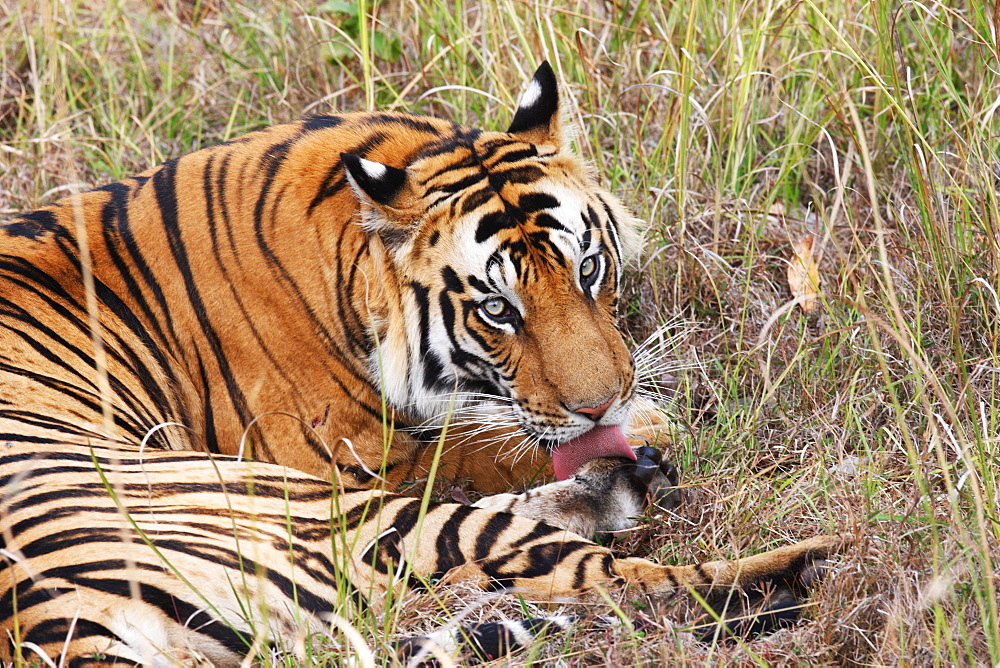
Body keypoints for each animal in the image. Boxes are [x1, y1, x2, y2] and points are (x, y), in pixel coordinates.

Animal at [0, 61, 852, 664]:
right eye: (498, 310)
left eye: (588, 270)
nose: (603, 406)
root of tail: (47, 621)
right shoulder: (351, 454)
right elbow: (485, 445)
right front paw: (647, 425)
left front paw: (633, 433)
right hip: (306, 506)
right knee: (623, 585)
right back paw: (819, 567)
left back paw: (623, 482)